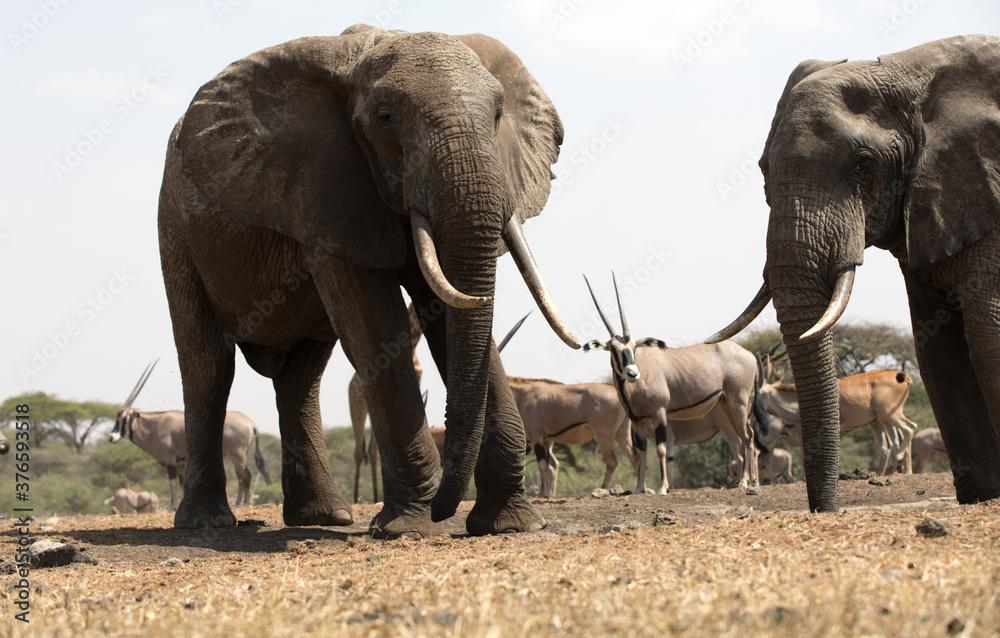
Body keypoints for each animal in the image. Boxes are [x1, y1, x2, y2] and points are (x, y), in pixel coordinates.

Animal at [157, 25, 580, 537]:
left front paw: (509, 524)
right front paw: (409, 526)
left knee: (302, 377)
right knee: (207, 365)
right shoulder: (326, 190)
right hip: (175, 227)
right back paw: (208, 522)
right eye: (385, 118)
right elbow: (377, 324)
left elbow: (445, 314)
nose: (446, 512)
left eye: (498, 115)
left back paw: (324, 516)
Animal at [710, 35, 1000, 512]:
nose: (824, 511)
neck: (910, 74)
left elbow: (986, 333)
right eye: (763, 168)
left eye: (864, 164)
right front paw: (983, 499)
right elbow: (940, 349)